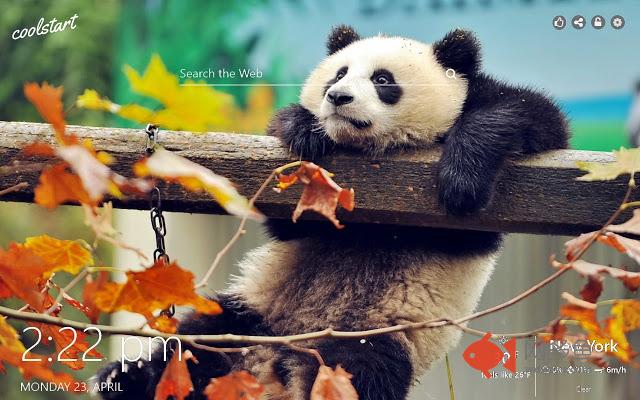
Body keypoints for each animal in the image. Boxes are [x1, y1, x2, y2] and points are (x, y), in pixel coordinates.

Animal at [97, 26, 568, 400]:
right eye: (338, 73)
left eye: (382, 79)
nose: (337, 97)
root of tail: (276, 363)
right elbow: (288, 219)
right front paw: (304, 129)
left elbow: (530, 118)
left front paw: (463, 178)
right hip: (253, 313)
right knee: (196, 344)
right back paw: (126, 381)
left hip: (377, 335)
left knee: (361, 370)